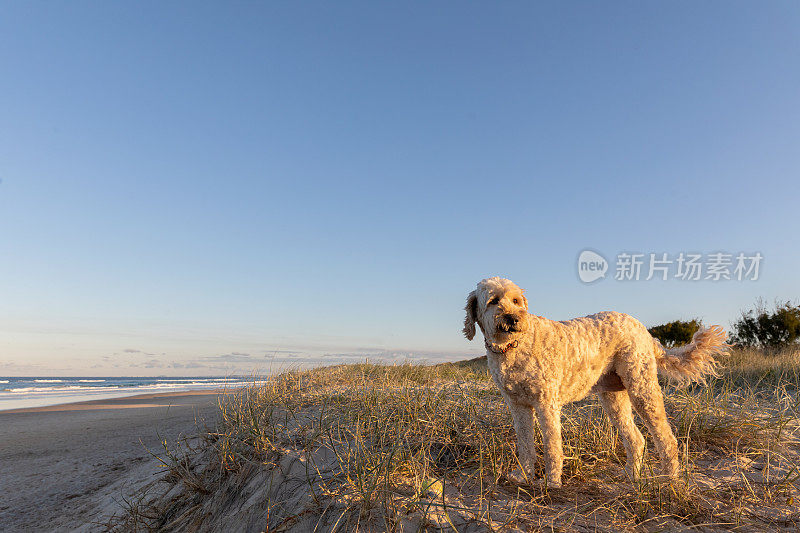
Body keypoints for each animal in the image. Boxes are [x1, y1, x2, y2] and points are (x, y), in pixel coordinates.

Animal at [460, 276, 728, 488]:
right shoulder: (518, 406)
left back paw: (669, 480)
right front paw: (523, 476)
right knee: (636, 439)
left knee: (666, 438)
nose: (513, 318)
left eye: (516, 301)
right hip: (614, 398)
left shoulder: (546, 404)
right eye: (493, 301)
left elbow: (552, 446)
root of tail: (645, 330)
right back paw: (631, 476)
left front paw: (552, 482)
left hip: (642, 389)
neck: (513, 347)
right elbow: (525, 445)